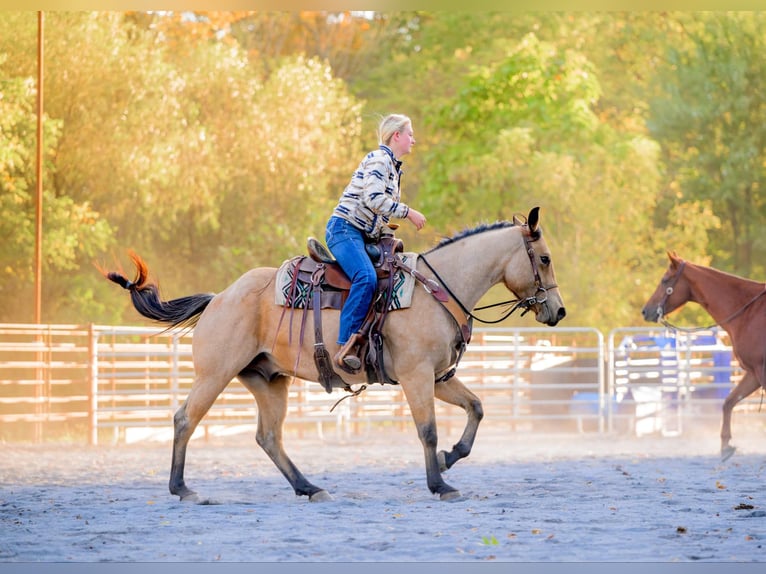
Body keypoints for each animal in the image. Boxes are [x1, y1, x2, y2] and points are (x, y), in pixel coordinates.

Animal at [105, 208, 568, 504]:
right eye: (544, 258)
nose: (559, 311)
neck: (437, 288)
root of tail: (219, 297)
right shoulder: (417, 376)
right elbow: (428, 431)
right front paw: (440, 485)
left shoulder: (438, 377)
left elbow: (476, 408)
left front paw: (450, 459)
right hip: (214, 373)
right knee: (186, 419)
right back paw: (183, 489)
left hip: (268, 380)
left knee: (268, 437)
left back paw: (309, 488)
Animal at [640, 253, 766, 464]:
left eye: (665, 280)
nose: (645, 310)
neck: (749, 312)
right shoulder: (753, 373)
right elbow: (729, 401)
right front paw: (725, 447)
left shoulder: (761, 371)